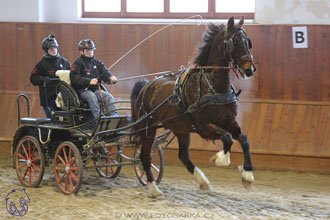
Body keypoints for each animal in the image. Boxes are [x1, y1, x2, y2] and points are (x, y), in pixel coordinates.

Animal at [130, 16, 256, 197]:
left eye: (247, 41)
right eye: (235, 41)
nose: (249, 69)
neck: (212, 85)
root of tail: (146, 85)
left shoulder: (228, 121)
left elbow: (244, 140)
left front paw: (247, 175)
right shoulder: (203, 127)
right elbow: (227, 138)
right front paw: (220, 159)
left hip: (180, 128)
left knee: (183, 155)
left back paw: (203, 181)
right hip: (149, 128)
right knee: (145, 157)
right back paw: (154, 188)